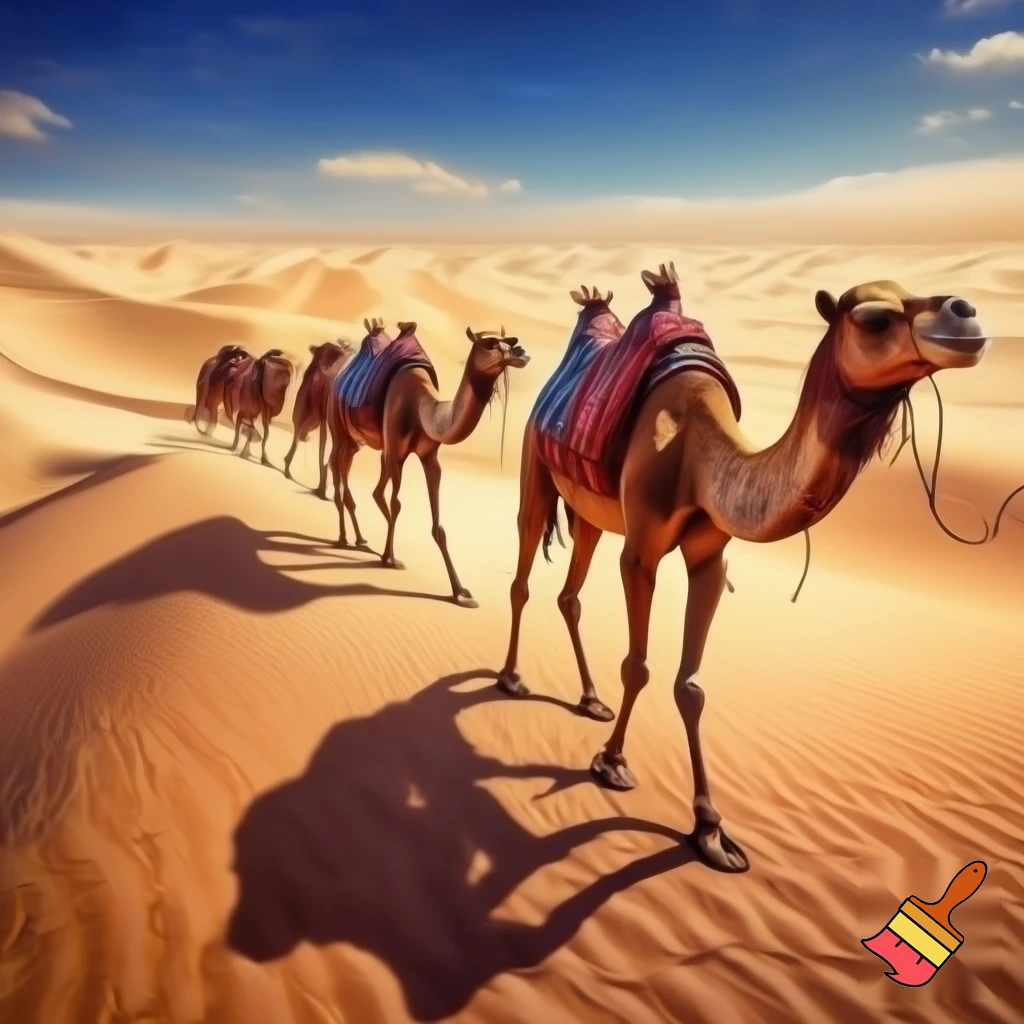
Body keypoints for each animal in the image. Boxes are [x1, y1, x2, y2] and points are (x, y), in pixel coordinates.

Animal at [326, 318, 530, 603]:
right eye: (490, 343)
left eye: (510, 340)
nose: (521, 352)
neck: (424, 409)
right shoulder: (397, 452)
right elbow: (397, 503)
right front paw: (390, 558)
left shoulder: (430, 459)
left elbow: (437, 527)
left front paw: (460, 591)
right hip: (340, 429)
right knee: (338, 470)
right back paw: (345, 538)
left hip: (360, 443)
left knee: (368, 485)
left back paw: (362, 540)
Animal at [497, 264, 990, 873]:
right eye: (875, 318)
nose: (965, 313)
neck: (700, 454)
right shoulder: (641, 551)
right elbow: (638, 666)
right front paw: (611, 763)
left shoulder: (710, 556)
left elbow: (691, 687)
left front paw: (710, 830)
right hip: (536, 466)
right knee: (522, 572)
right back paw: (511, 678)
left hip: (590, 510)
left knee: (570, 594)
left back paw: (590, 699)